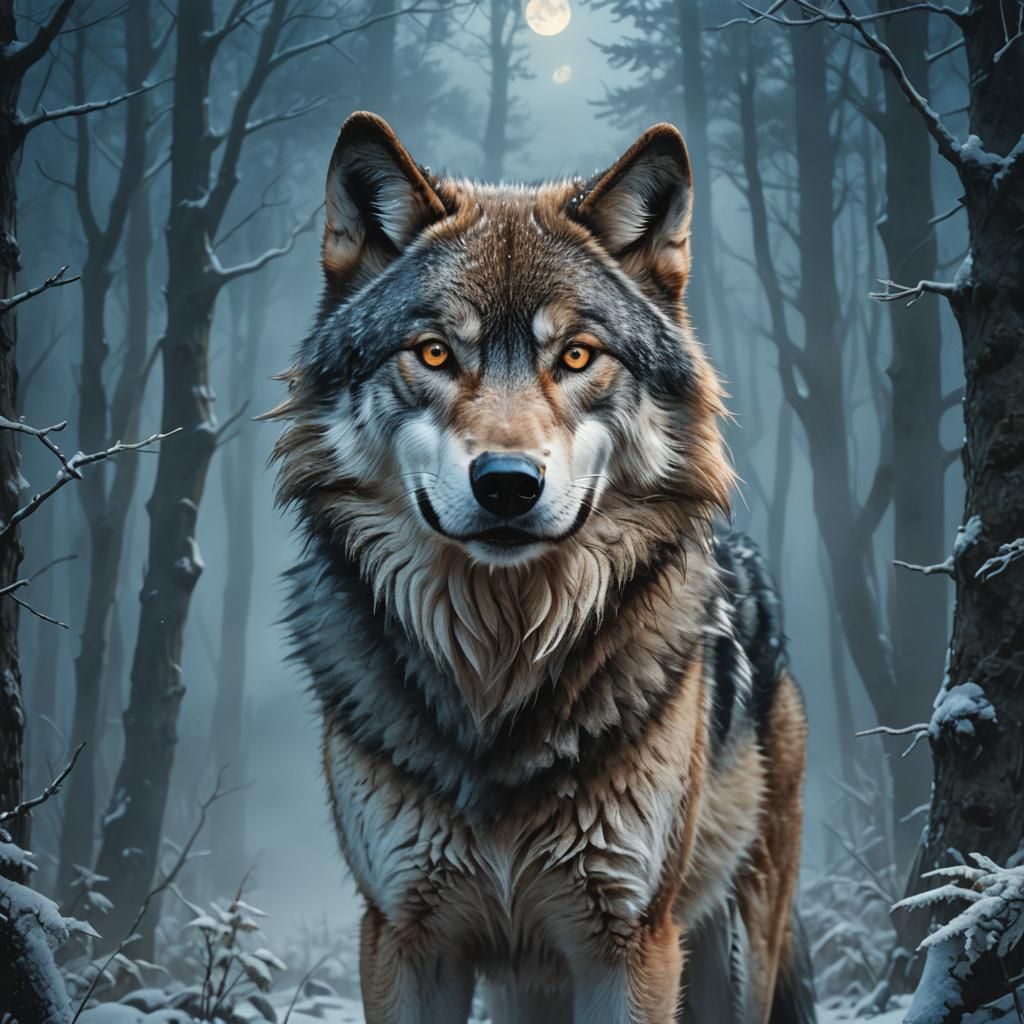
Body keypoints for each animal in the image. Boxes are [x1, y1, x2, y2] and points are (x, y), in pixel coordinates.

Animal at [271, 112, 816, 1024]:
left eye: (576, 356)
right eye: (433, 354)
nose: (506, 484)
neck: (501, 672)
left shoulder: (628, 944)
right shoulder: (404, 936)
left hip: (733, 955)